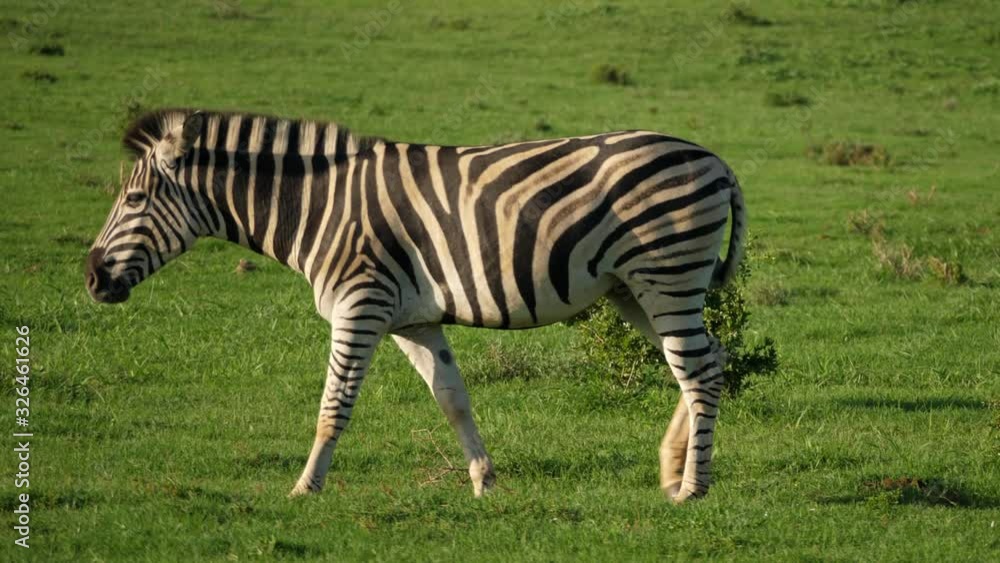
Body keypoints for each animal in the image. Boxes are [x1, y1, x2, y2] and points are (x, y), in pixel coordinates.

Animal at [85, 108, 746, 503]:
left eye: (134, 200)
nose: (92, 278)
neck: (318, 208)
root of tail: (713, 156)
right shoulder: (415, 320)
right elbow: (453, 400)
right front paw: (484, 482)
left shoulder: (360, 305)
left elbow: (333, 406)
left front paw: (305, 487)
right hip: (633, 289)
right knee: (705, 363)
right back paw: (672, 468)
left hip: (666, 274)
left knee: (698, 370)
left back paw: (694, 487)